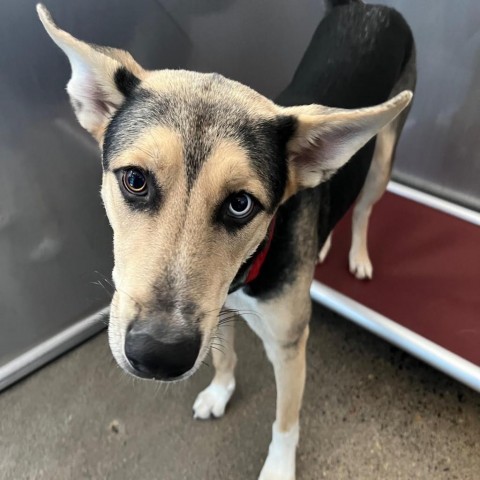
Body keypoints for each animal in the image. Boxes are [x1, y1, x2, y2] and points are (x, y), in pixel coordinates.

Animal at [37, 0, 416, 476]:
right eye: (135, 180)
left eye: (240, 204)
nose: (159, 356)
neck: (247, 269)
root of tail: (370, 7)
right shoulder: (216, 309)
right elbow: (222, 355)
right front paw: (220, 391)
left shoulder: (289, 343)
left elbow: (286, 419)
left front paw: (279, 466)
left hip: (382, 161)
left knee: (365, 207)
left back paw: (359, 256)